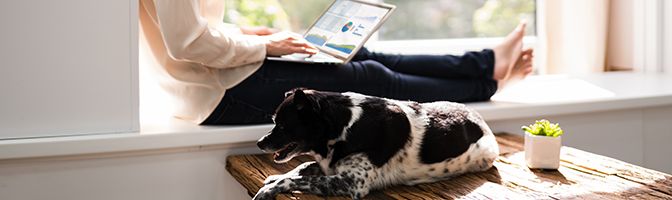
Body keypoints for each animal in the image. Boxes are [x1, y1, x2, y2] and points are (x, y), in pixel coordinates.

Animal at [252, 88, 498, 199]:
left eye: (282, 125)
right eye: (275, 122)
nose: (259, 143)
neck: (346, 126)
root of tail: (480, 120)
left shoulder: (352, 183)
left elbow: (296, 179)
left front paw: (270, 189)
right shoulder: (329, 166)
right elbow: (302, 167)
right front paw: (275, 177)